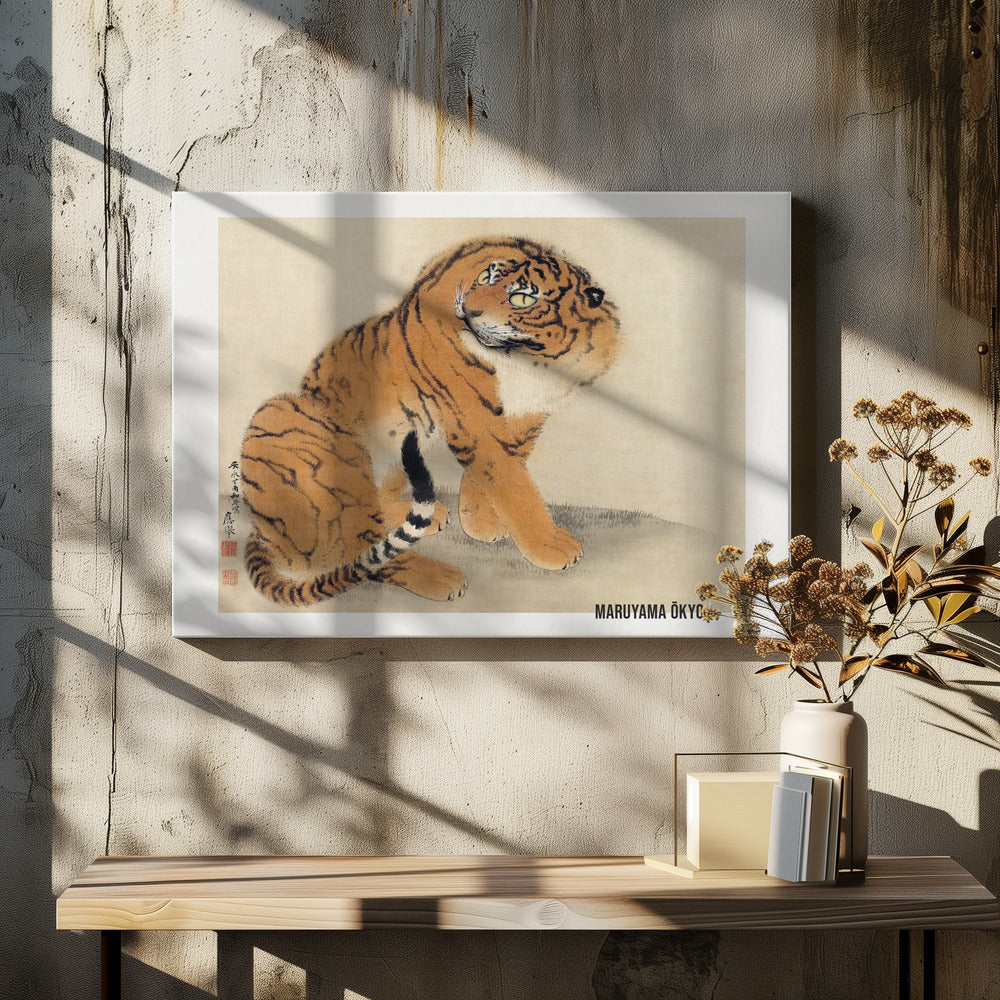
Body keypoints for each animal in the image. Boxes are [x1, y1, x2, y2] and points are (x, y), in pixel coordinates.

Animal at [240, 235, 619, 606]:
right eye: (486, 278)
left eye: (523, 298)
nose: (468, 310)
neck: (532, 362)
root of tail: (263, 531)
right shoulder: (473, 419)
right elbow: (513, 484)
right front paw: (551, 545)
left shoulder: (527, 416)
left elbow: (500, 474)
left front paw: (480, 521)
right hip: (296, 423)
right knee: (359, 551)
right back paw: (441, 578)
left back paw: (428, 514)